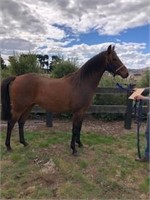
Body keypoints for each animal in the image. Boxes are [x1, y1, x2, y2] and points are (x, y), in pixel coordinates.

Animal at [0, 45, 128, 155]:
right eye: (114, 59)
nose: (126, 73)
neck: (81, 83)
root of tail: (16, 78)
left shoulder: (82, 111)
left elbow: (79, 128)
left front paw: (79, 144)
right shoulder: (77, 112)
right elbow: (75, 129)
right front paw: (74, 149)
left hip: (28, 107)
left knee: (21, 122)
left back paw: (24, 143)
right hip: (19, 108)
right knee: (11, 123)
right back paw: (8, 146)